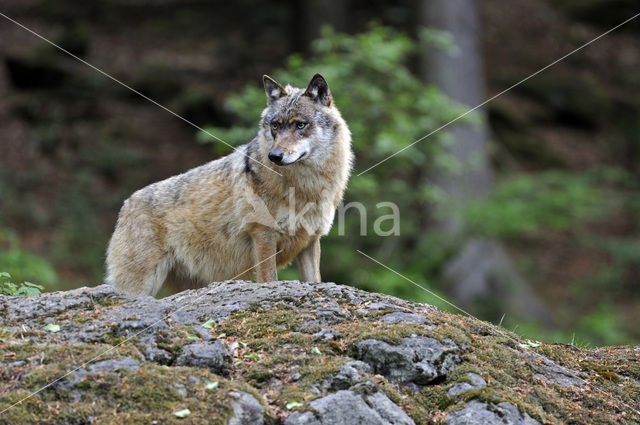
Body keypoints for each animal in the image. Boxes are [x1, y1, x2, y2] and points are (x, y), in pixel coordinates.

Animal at [105, 73, 356, 294]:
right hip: (141, 284)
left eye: (300, 125)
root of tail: (126, 204)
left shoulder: (310, 241)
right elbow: (269, 280)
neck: (307, 187)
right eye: (275, 126)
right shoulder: (264, 236)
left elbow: (315, 281)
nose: (274, 156)